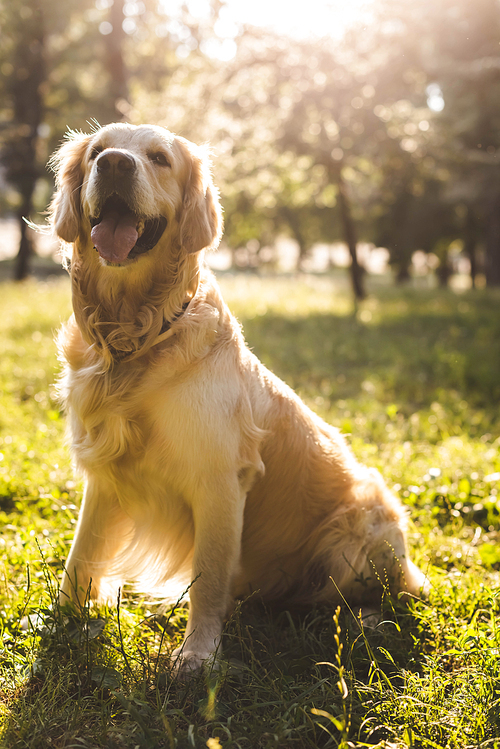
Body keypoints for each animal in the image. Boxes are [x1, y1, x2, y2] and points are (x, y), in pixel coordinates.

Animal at [48, 121, 428, 672]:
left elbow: (208, 577)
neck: (136, 334)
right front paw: (56, 626)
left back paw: (367, 619)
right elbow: (80, 557)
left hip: (363, 523)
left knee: (391, 592)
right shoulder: (105, 474)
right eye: (98, 151)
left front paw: (197, 655)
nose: (115, 164)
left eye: (159, 158)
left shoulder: (220, 479)